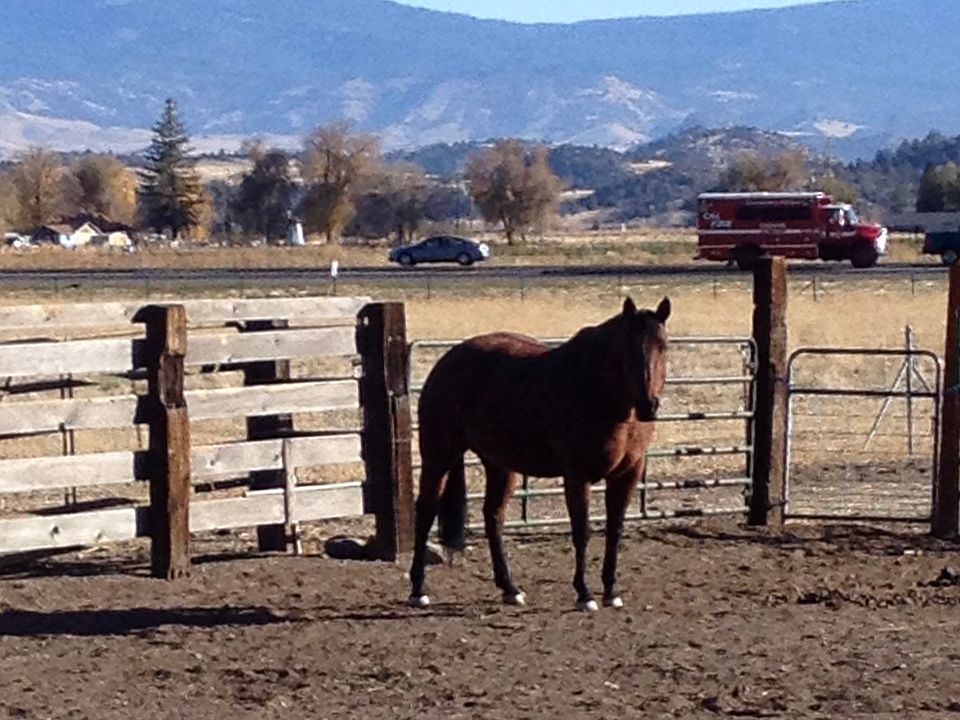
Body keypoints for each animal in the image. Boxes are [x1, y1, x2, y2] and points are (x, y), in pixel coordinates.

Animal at [408, 296, 671, 612]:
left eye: (663, 346)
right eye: (627, 348)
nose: (649, 406)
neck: (598, 390)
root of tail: (446, 362)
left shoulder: (627, 474)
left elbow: (615, 531)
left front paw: (612, 591)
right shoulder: (577, 476)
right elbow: (581, 531)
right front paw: (585, 595)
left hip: (499, 465)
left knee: (493, 516)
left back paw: (510, 588)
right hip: (439, 457)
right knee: (426, 511)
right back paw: (418, 590)